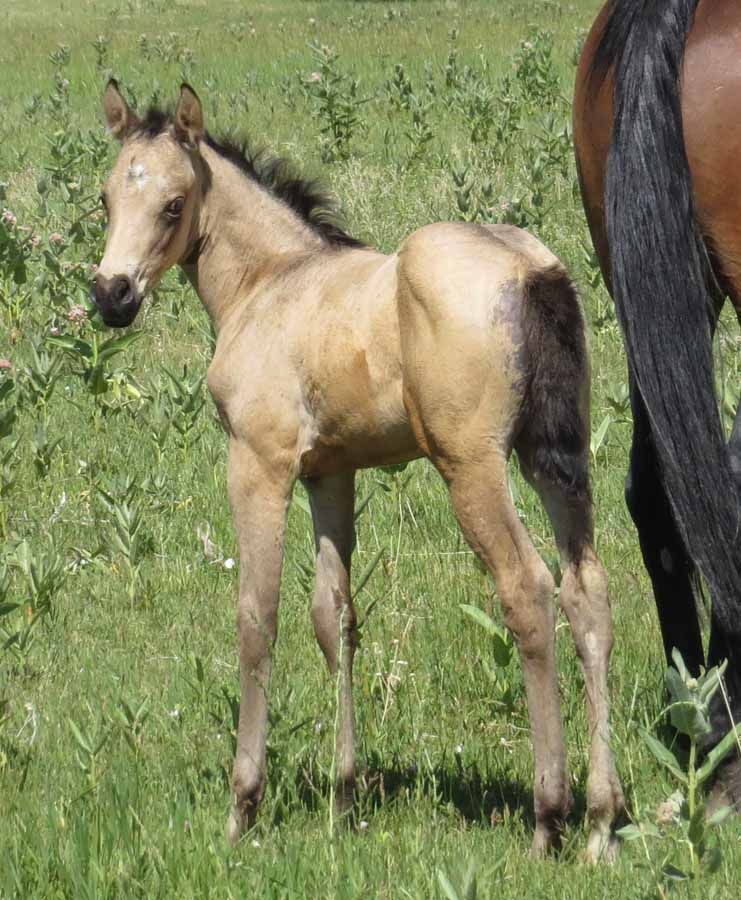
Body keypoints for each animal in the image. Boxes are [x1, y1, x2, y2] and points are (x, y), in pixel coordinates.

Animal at [94, 80, 623, 859]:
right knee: (586, 591)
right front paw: (344, 800)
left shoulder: (259, 463)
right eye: (106, 197)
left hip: (472, 466)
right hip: (557, 458)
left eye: (172, 203)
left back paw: (548, 815)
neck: (269, 282)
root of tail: (531, 270)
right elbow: (334, 616)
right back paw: (600, 820)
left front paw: (243, 805)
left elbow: (257, 616)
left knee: (527, 589)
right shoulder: (329, 473)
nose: (112, 296)